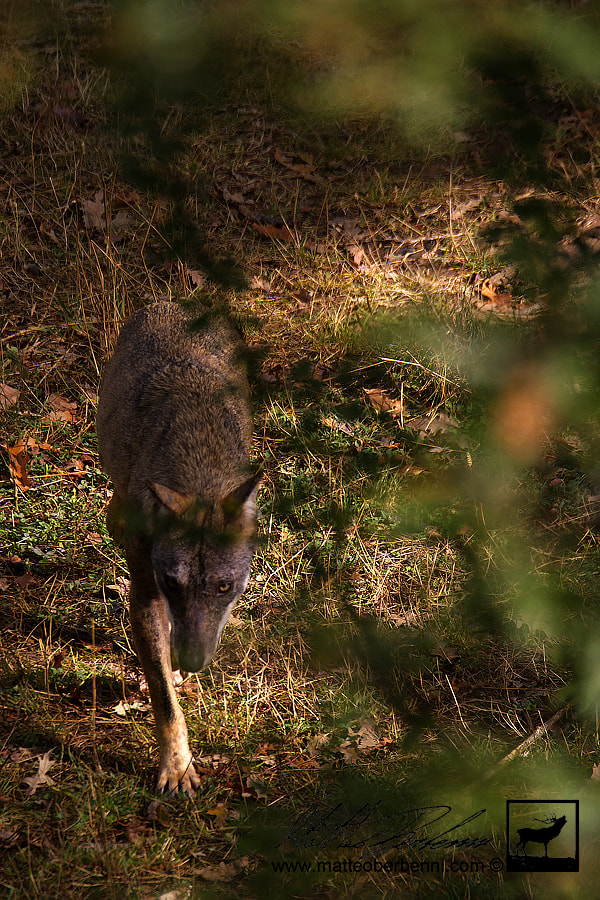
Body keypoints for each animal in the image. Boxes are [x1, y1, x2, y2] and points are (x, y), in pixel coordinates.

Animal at [97, 302, 260, 795]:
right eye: (172, 583)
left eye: (225, 587)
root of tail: (174, 301)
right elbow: (164, 700)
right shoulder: (145, 592)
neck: (199, 463)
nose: (192, 660)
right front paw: (177, 766)